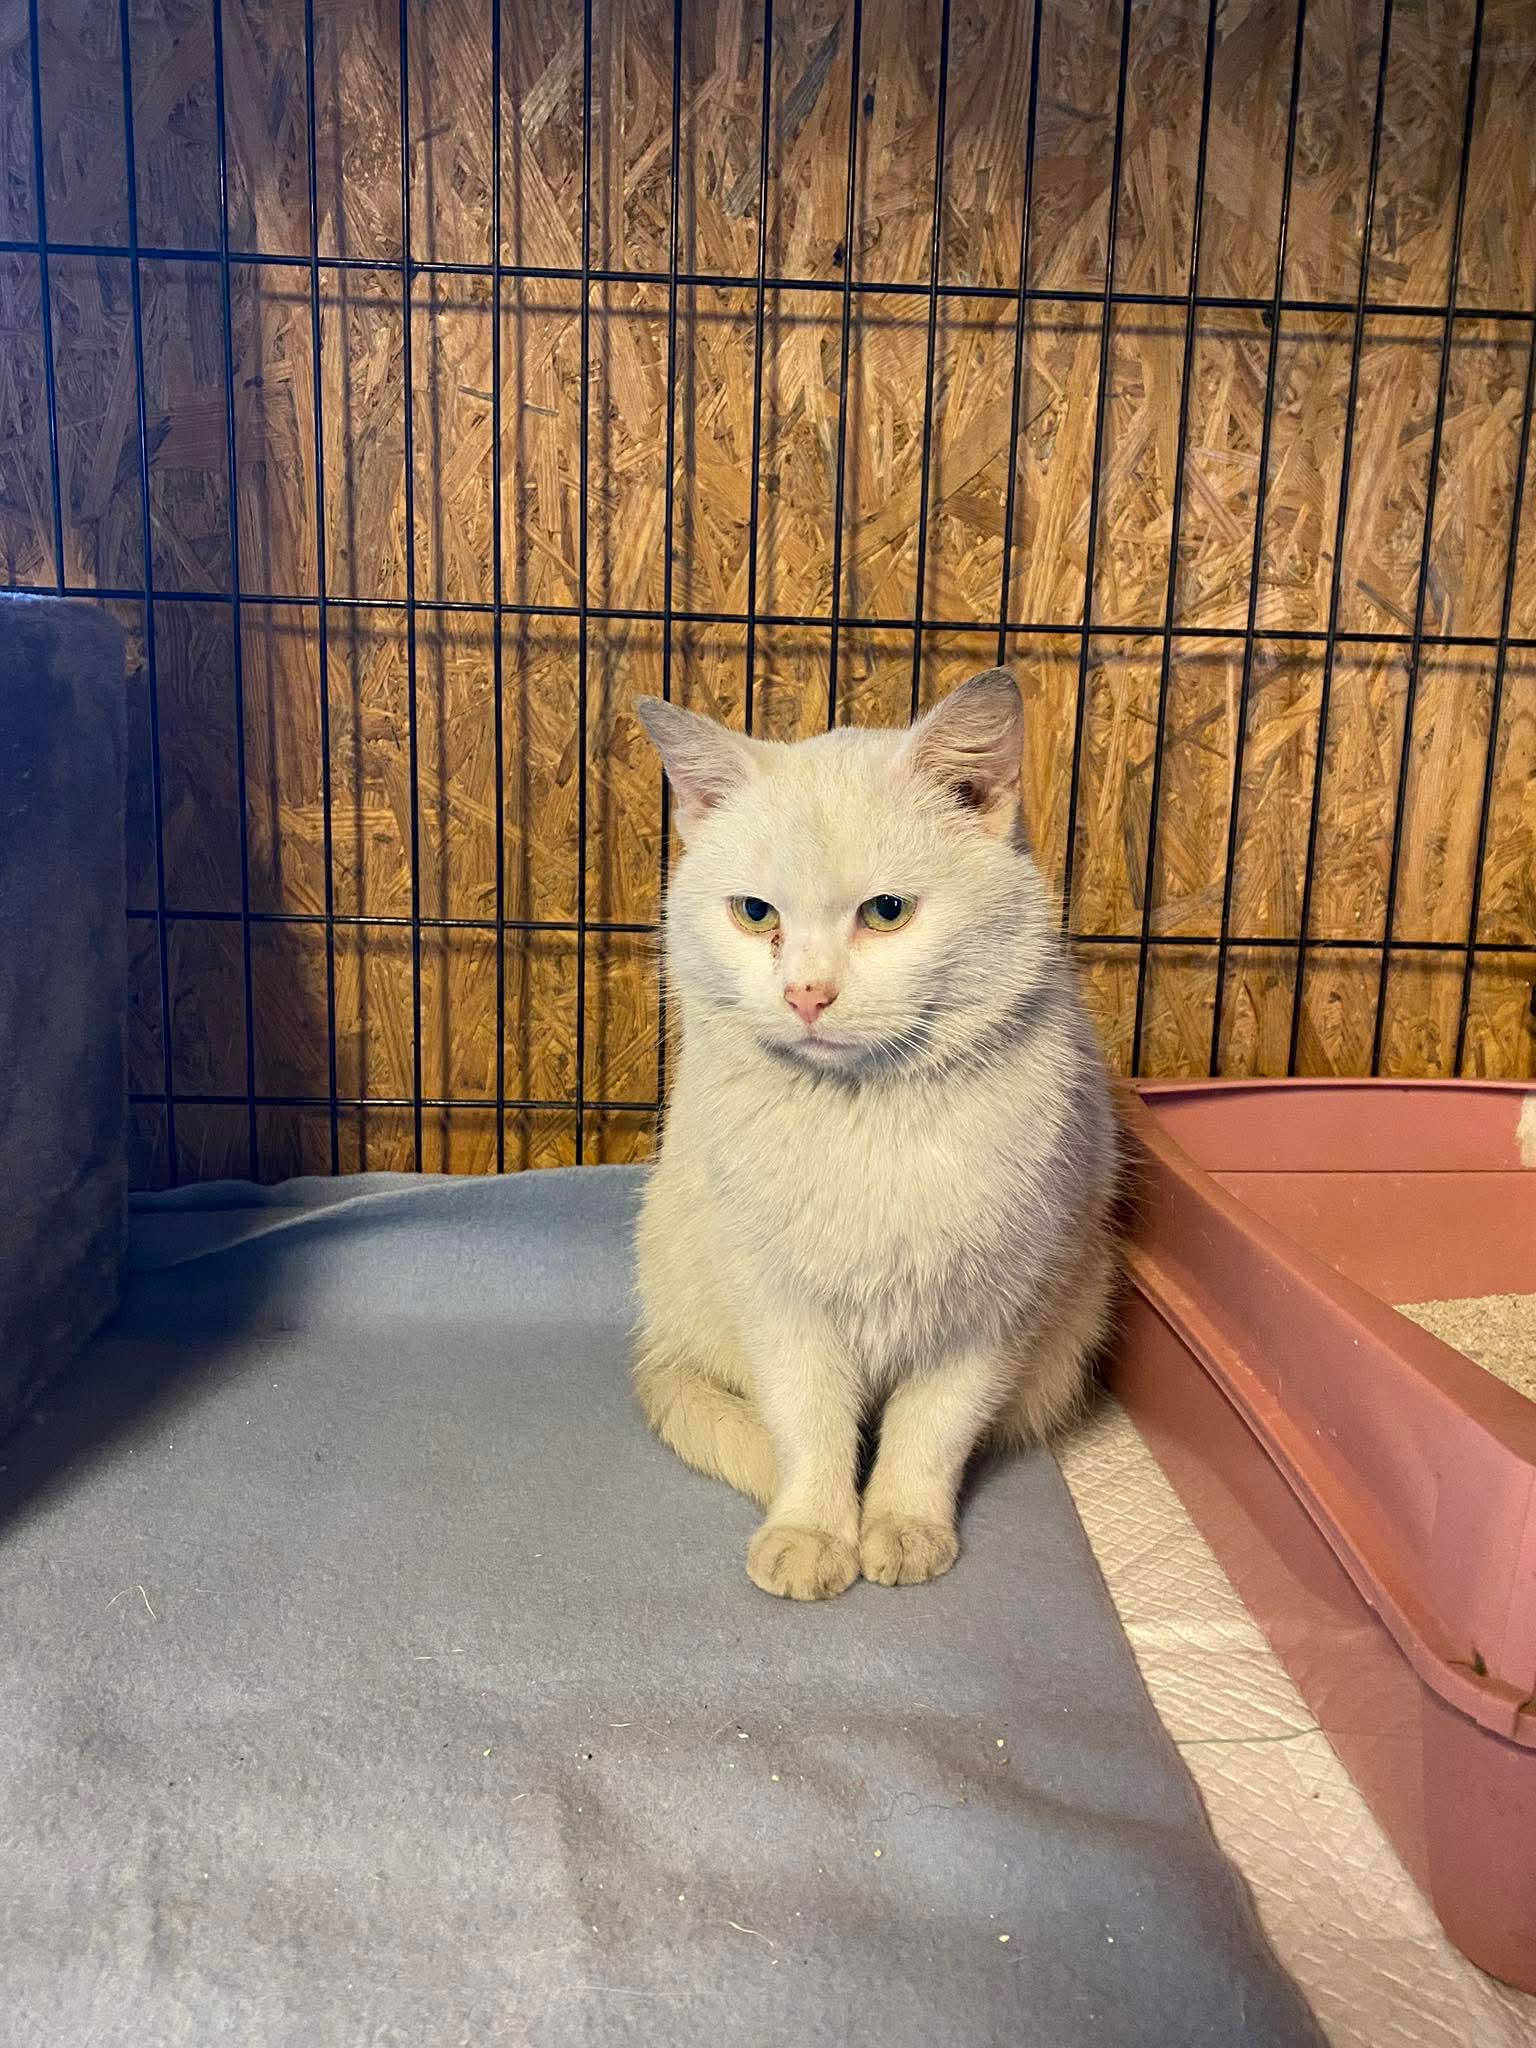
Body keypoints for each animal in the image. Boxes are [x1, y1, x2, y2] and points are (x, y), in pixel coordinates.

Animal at [632, 668, 1117, 1601]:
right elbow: (808, 1423)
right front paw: (815, 1531)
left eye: (886, 912)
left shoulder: (991, 1310)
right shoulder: (780, 1301)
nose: (806, 994)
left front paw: (902, 1525)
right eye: (755, 914)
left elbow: (932, 1429)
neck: (864, 1115)